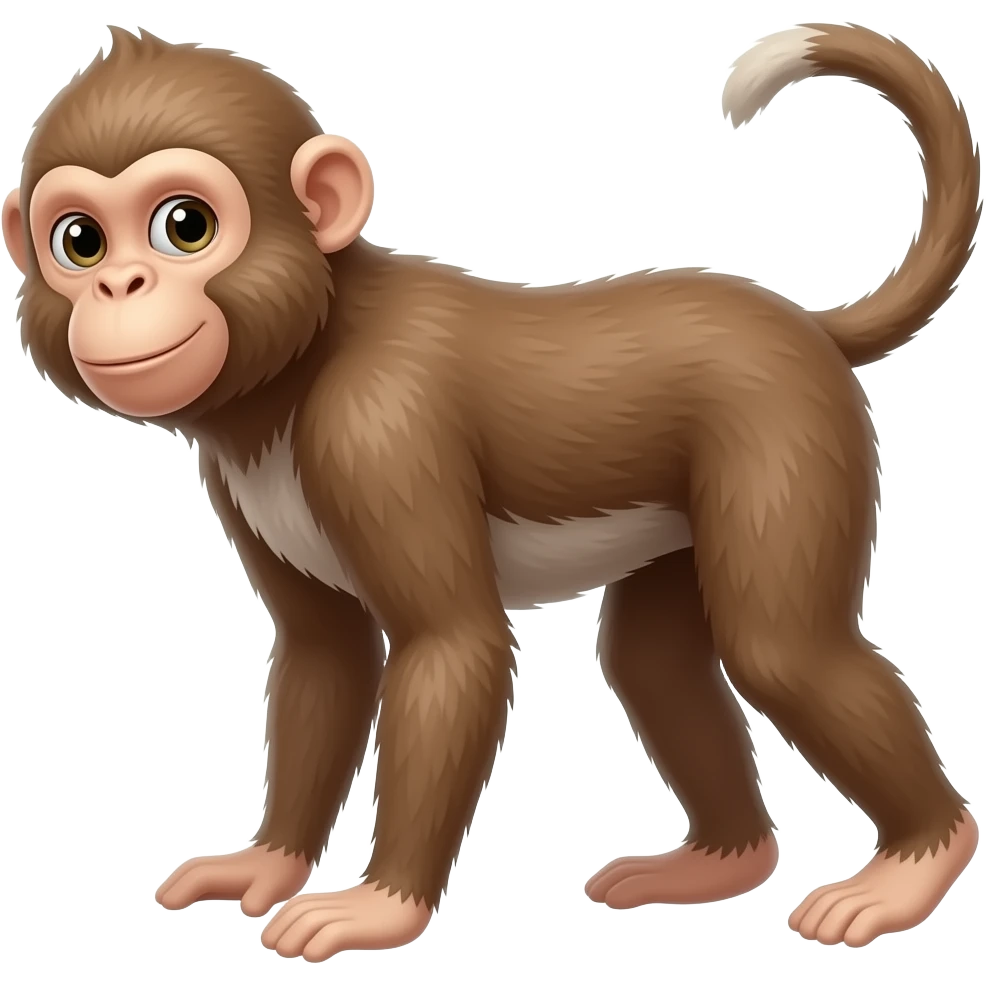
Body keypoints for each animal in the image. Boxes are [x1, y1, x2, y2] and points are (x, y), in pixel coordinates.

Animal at [3, 21, 981, 961]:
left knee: (782, 649)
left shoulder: (380, 430)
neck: (300, 363)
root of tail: (803, 327)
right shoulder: (237, 477)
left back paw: (919, 861)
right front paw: (267, 863)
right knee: (654, 664)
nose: (119, 284)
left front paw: (379, 908)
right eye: (80, 241)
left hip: (784, 434)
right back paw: (722, 861)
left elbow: (451, 645)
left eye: (186, 227)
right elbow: (324, 655)